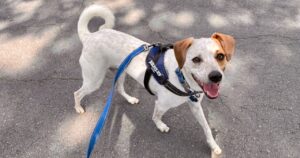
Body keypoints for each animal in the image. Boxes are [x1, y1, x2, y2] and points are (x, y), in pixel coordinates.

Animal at [74, 4, 236, 156]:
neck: (182, 77)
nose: (216, 76)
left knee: (119, 88)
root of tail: (89, 36)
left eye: (220, 56)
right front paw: (161, 126)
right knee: (77, 93)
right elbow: (156, 116)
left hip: (120, 72)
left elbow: (206, 128)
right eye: (196, 59)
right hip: (94, 80)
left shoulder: (195, 106)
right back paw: (78, 108)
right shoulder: (161, 104)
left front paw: (213, 146)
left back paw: (130, 99)